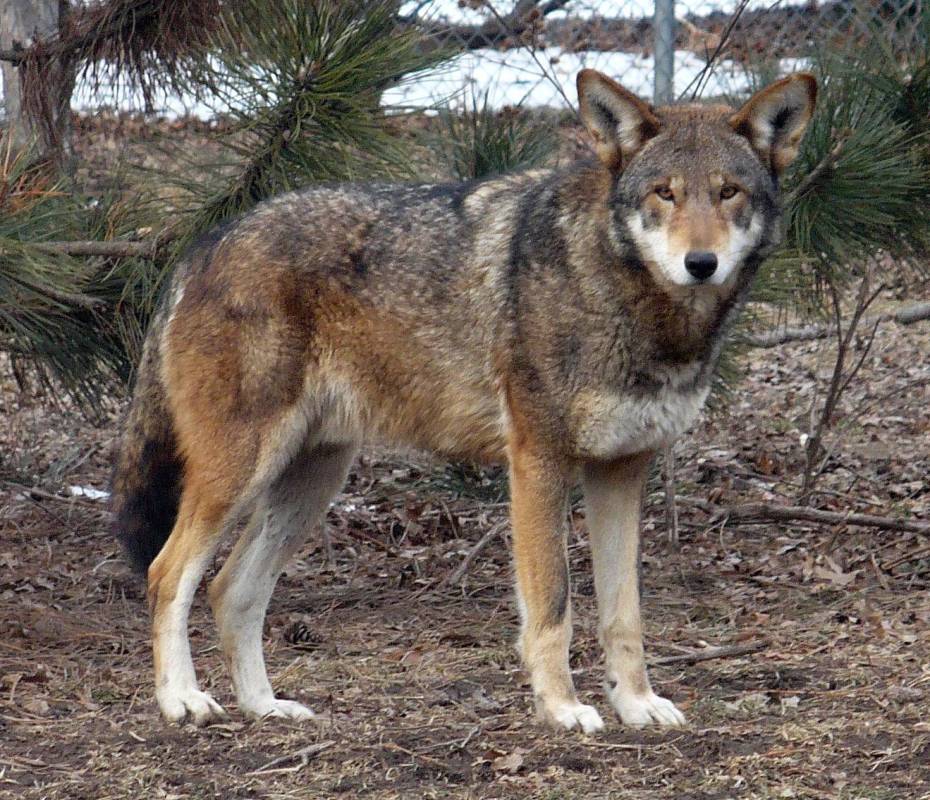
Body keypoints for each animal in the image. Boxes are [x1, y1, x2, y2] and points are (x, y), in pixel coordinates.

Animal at [111, 69, 816, 732]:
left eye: (729, 192)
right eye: (664, 193)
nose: (701, 263)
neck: (629, 299)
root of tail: (200, 247)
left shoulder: (621, 472)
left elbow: (625, 615)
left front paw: (637, 705)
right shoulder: (538, 465)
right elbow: (554, 607)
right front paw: (563, 709)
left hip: (310, 483)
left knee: (231, 591)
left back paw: (266, 707)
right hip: (242, 472)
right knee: (167, 574)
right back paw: (181, 701)